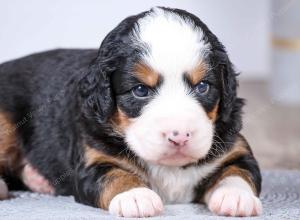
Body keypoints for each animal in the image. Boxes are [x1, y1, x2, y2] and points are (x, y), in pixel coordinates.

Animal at [0, 6, 262, 217]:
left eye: (203, 86)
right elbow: (115, 174)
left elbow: (238, 171)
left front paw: (236, 197)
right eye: (140, 90)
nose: (179, 136)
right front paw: (136, 196)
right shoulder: (93, 160)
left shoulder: (236, 149)